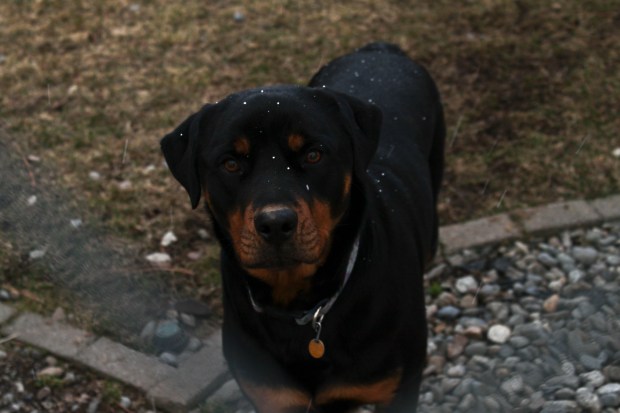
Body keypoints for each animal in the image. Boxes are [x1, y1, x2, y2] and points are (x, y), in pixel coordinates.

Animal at [161, 42, 444, 412]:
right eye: (230, 163)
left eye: (313, 154)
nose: (275, 222)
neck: (300, 307)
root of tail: (381, 49)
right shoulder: (271, 395)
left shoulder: (399, 389)